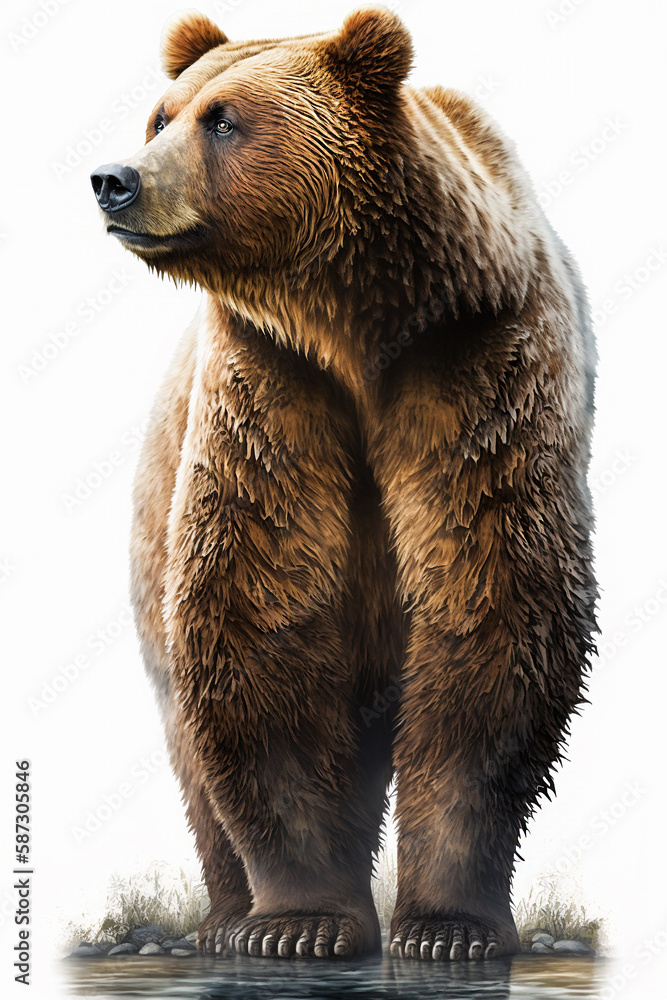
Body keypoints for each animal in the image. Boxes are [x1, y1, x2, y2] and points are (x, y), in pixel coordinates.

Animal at [91, 7, 597, 962]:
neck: (354, 321)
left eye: (221, 118)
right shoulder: (270, 385)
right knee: (194, 749)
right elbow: (260, 613)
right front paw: (301, 922)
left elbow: (489, 603)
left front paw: (447, 929)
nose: (115, 180)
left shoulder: (477, 366)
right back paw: (226, 917)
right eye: (158, 115)